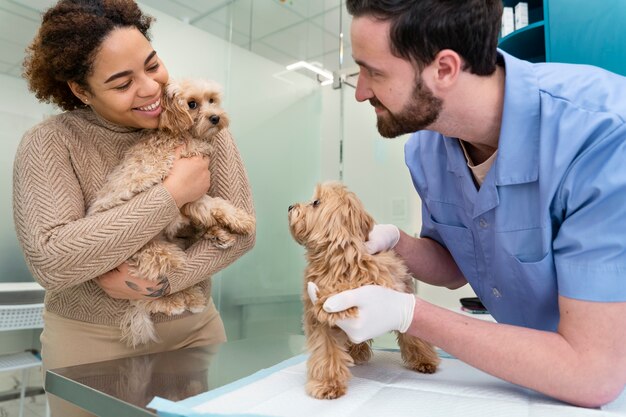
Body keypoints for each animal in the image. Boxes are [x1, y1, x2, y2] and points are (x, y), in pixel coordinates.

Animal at [87, 77, 254, 344]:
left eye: (212, 100)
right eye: (192, 104)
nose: (216, 117)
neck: (179, 134)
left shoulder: (190, 202)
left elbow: (213, 207)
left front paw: (232, 223)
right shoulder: (187, 192)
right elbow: (214, 203)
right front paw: (240, 219)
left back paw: (216, 241)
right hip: (159, 254)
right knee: (148, 296)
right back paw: (177, 301)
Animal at [286, 182, 436, 400]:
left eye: (316, 202)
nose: (290, 207)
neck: (338, 258)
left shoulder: (382, 282)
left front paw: (333, 297)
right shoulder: (318, 322)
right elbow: (326, 351)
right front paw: (328, 384)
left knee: (413, 335)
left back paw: (424, 360)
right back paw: (358, 351)